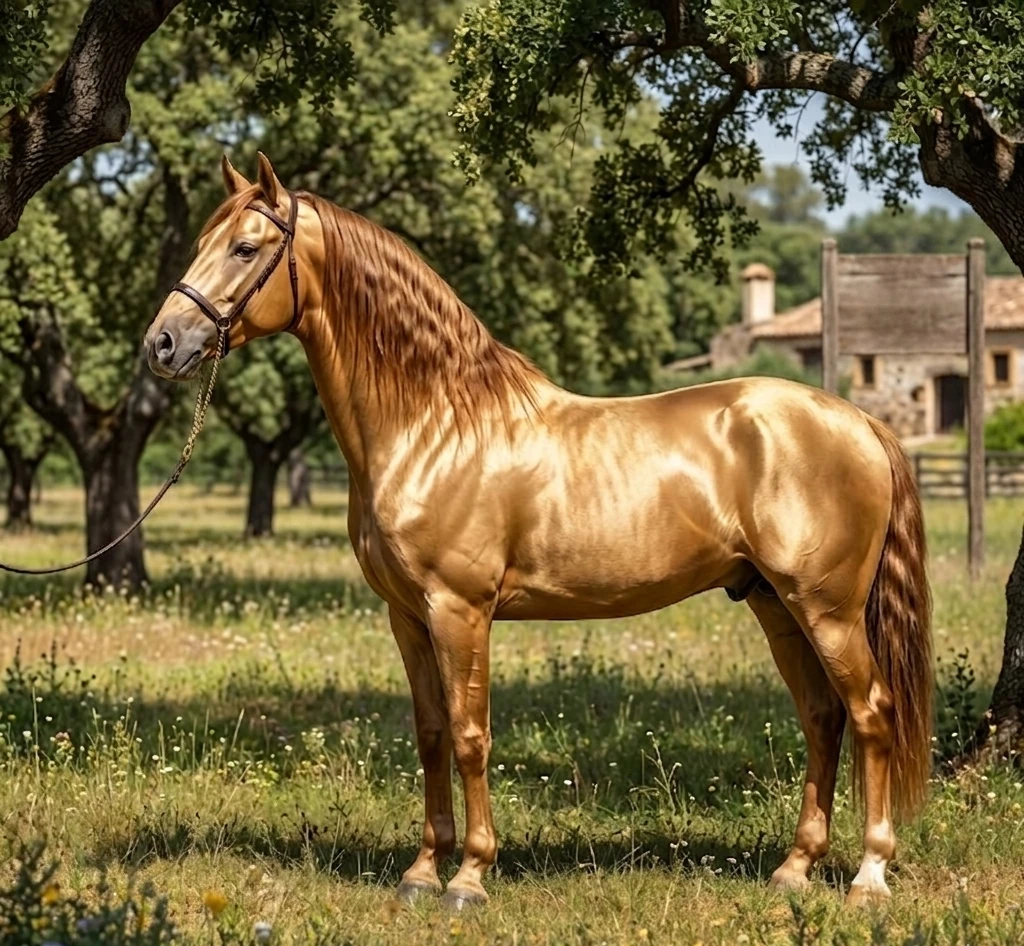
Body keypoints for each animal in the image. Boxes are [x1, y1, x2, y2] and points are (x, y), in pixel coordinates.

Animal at [145, 153, 932, 911]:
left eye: (246, 247)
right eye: (202, 242)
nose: (163, 343)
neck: (436, 424)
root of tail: (858, 420)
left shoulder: (460, 611)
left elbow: (470, 737)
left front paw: (469, 878)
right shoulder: (407, 616)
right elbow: (430, 735)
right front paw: (421, 873)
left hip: (827, 610)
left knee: (870, 714)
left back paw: (869, 877)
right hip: (775, 604)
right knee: (822, 718)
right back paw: (795, 870)